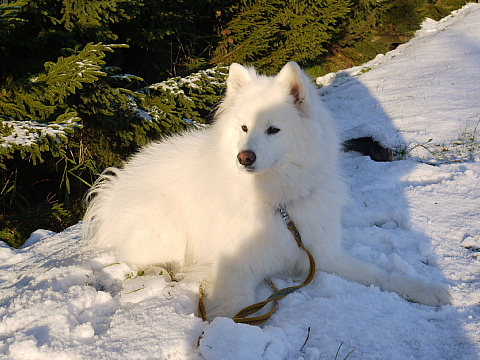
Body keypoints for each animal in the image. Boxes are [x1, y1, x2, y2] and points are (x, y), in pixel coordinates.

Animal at [83, 63, 454, 320]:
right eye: (244, 127)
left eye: (273, 129)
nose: (244, 157)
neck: (277, 202)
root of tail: (115, 185)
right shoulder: (234, 266)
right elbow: (233, 308)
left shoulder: (319, 256)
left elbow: (380, 273)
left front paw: (425, 290)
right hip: (165, 222)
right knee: (140, 261)